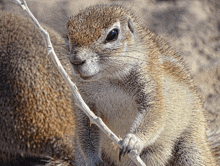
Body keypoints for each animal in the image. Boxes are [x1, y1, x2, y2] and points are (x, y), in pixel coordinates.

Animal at [66, 4, 218, 166]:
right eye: (68, 35)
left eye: (113, 34)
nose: (76, 60)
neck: (108, 79)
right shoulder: (83, 100)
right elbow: (85, 130)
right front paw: (93, 159)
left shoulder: (151, 81)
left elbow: (155, 112)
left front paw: (133, 140)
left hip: (189, 147)